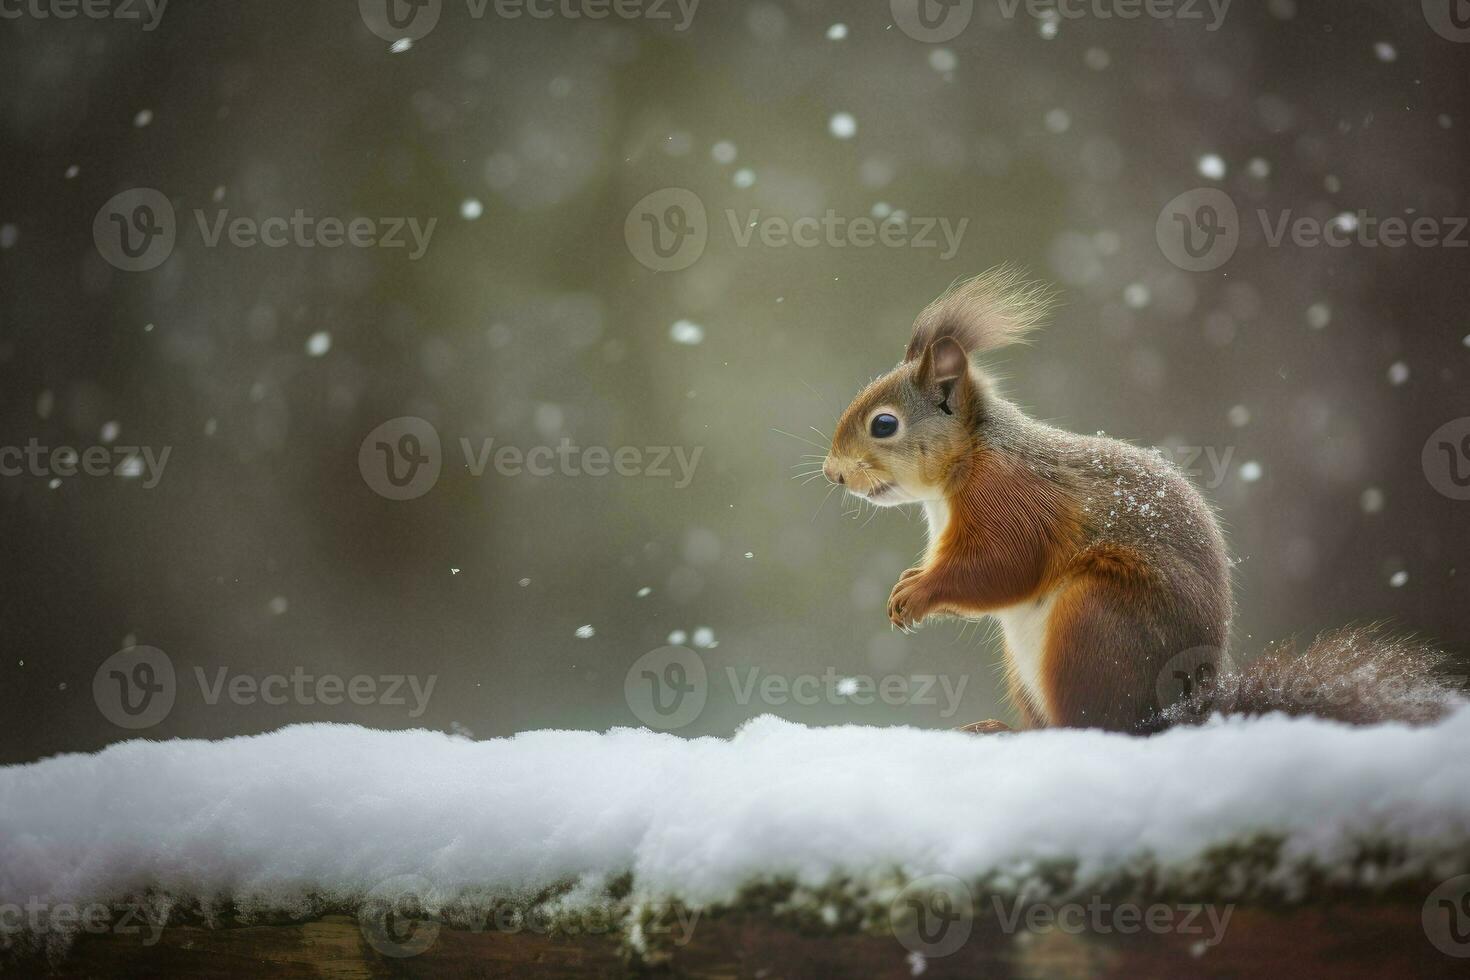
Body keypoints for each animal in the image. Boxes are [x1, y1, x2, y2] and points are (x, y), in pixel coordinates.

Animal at [823, 268, 1464, 734]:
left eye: (884, 424)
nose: (832, 474)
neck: (966, 466)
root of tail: (1175, 713)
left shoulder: (1014, 501)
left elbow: (1001, 567)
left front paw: (919, 593)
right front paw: (911, 579)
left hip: (1096, 622)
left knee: (1094, 727)